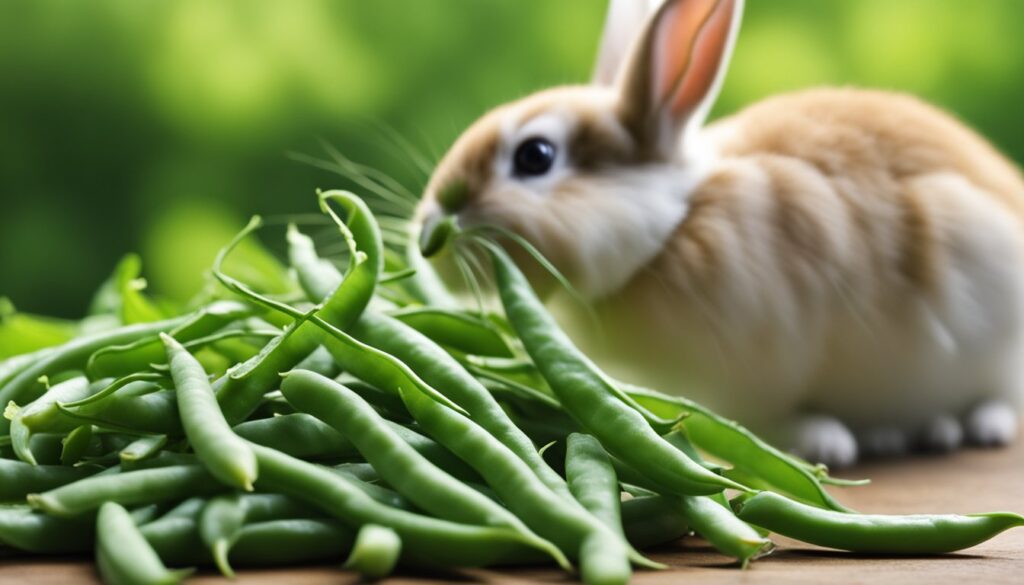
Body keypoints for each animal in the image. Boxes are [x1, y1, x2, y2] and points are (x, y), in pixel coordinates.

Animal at [414, 0, 1024, 467]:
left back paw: (970, 426)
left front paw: (822, 442)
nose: (425, 235)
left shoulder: (756, 380)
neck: (671, 227)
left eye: (535, 156)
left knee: (1004, 399)